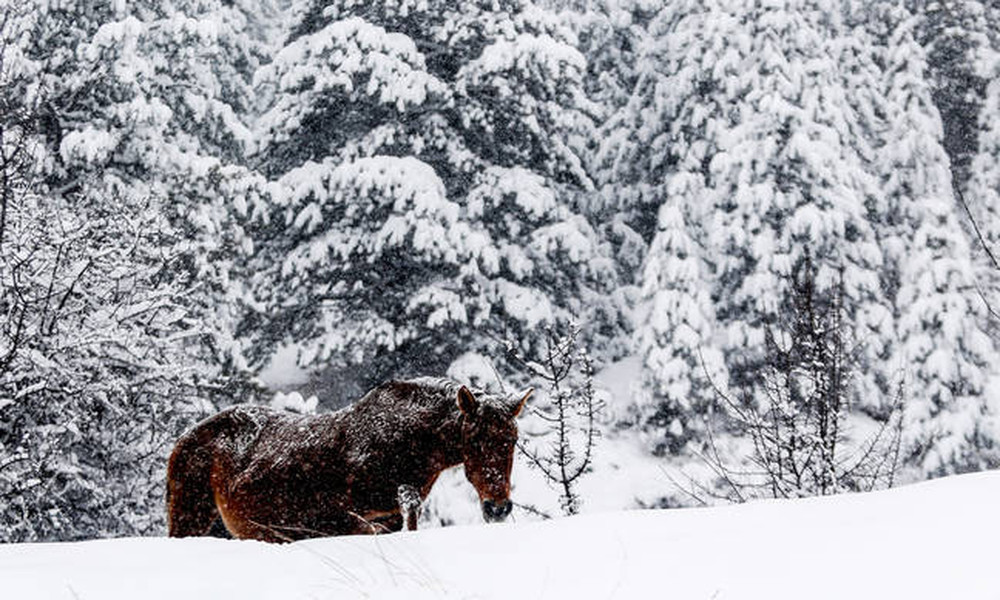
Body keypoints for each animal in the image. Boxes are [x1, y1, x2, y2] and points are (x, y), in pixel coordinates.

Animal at [166, 378, 532, 540]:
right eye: (474, 439)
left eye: (513, 439)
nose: (498, 508)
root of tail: (181, 442)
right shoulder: (334, 520)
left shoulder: (394, 513)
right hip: (190, 518)